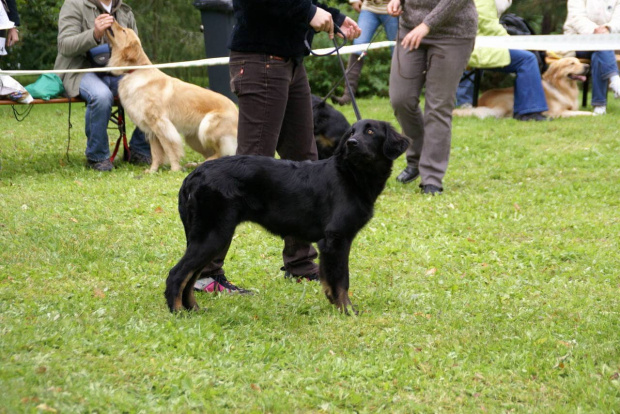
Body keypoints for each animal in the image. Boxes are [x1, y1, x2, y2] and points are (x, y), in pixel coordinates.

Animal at [165, 119, 410, 314]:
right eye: (351, 132)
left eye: (369, 132)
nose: (352, 143)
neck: (351, 174)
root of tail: (194, 175)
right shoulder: (336, 239)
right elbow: (342, 280)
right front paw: (348, 311)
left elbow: (330, 280)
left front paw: (336, 305)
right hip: (213, 235)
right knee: (177, 274)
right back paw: (178, 312)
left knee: (189, 277)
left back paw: (193, 309)